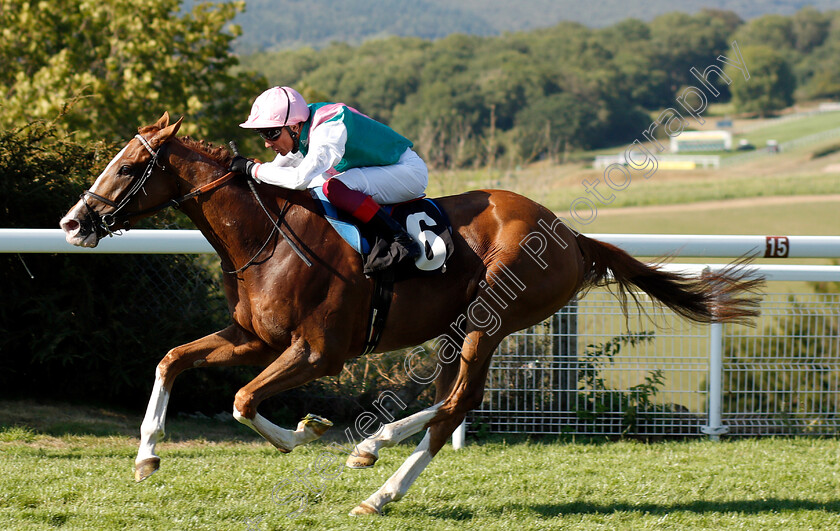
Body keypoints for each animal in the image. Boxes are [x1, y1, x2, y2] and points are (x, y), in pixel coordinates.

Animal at [60, 114, 760, 516]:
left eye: (129, 166)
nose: (72, 222)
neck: (268, 237)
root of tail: (573, 236)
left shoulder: (319, 352)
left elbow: (242, 400)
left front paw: (306, 432)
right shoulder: (253, 336)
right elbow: (172, 359)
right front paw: (147, 456)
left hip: (489, 319)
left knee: (456, 404)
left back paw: (380, 491)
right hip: (460, 326)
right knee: (453, 398)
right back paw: (373, 447)